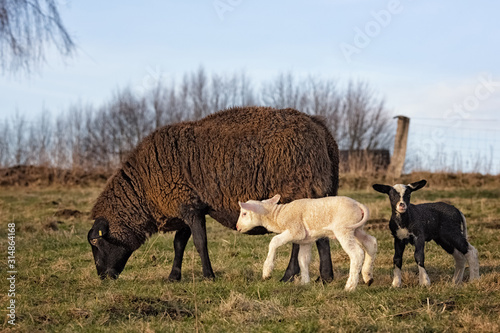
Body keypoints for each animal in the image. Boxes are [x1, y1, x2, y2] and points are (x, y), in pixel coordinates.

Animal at [89, 105, 340, 280]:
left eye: (95, 243)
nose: (103, 277)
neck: (143, 187)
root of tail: (320, 128)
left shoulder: (190, 207)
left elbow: (200, 242)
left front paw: (208, 276)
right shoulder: (184, 204)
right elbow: (179, 244)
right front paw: (174, 277)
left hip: (300, 191)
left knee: (302, 239)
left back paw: (292, 276)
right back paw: (324, 277)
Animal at [236, 193, 376, 290]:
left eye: (244, 213)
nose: (237, 227)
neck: (278, 215)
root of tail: (358, 204)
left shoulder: (296, 230)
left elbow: (274, 241)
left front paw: (267, 272)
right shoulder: (305, 240)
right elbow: (303, 259)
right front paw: (304, 282)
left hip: (344, 229)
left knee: (357, 254)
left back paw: (350, 286)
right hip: (356, 229)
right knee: (371, 243)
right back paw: (368, 277)